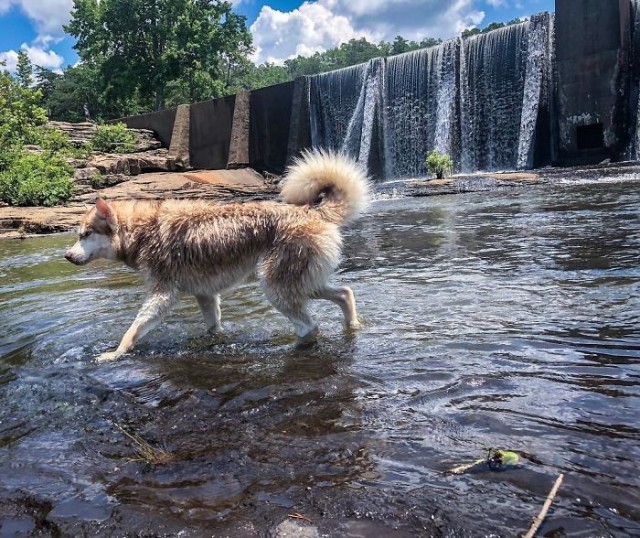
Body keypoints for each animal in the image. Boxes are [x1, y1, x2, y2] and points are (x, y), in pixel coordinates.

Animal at [65, 151, 370, 360]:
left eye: (85, 234)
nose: (67, 255)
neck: (141, 231)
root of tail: (310, 211)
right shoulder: (206, 294)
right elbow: (213, 326)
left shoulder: (162, 295)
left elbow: (134, 329)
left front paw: (115, 353)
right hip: (302, 283)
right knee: (345, 293)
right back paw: (353, 325)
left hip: (276, 288)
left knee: (310, 326)